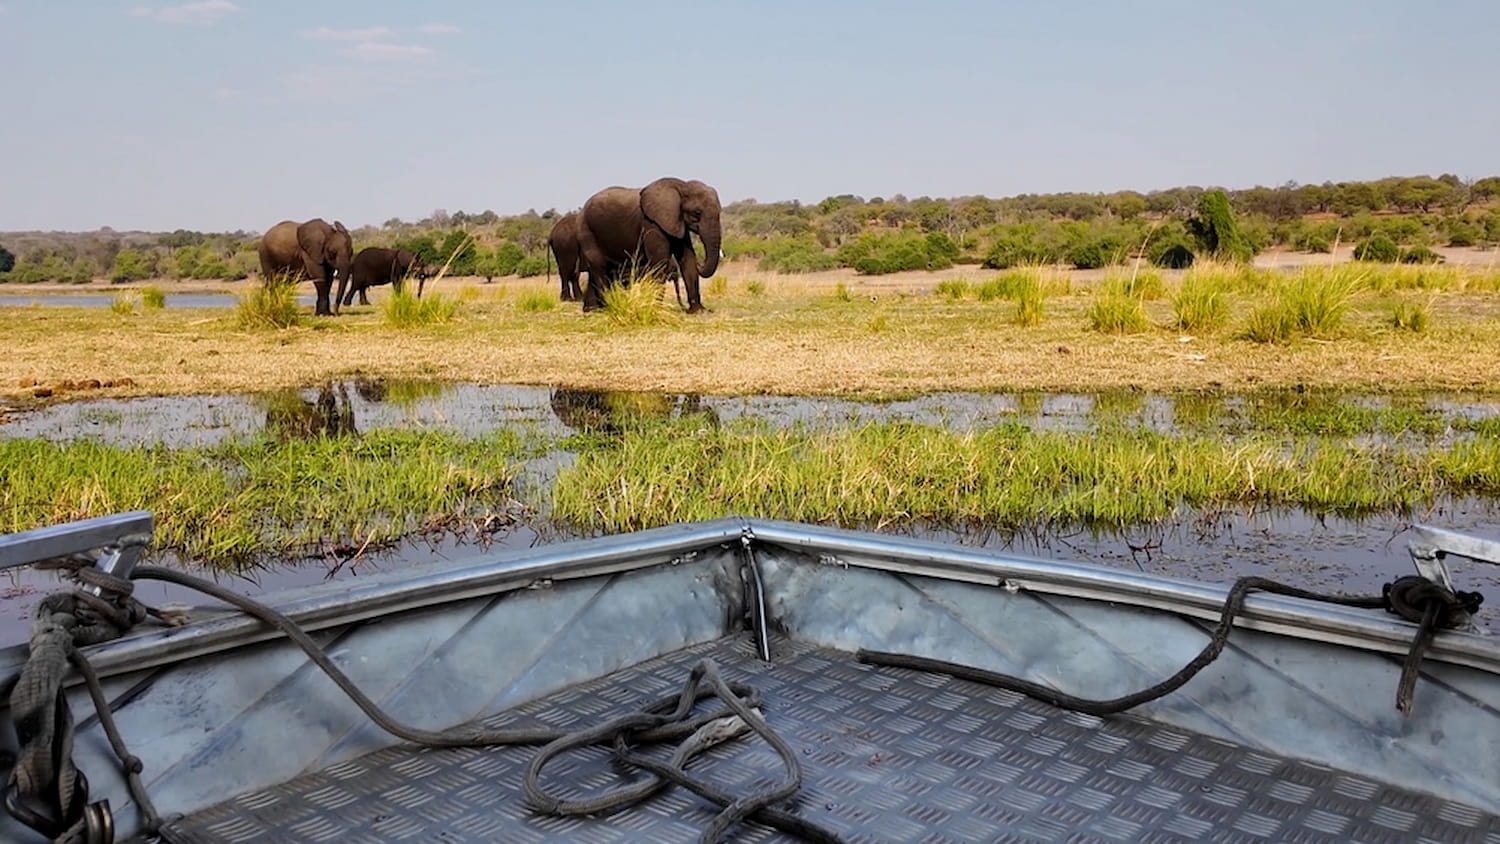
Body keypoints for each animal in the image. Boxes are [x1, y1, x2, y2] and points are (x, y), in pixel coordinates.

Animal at [575, 177, 722, 313]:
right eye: (697, 213)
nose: (700, 264)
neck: (681, 186)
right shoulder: (651, 224)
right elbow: (660, 262)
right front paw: (655, 310)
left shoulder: (677, 223)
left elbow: (687, 259)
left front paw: (699, 311)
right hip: (586, 232)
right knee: (599, 267)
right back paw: (607, 308)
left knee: (599, 270)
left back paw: (591, 310)